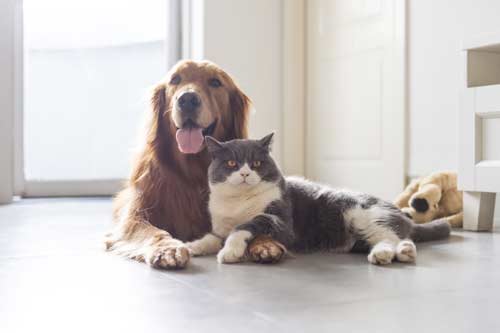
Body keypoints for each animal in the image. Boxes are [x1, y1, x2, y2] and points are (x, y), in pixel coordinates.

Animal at [104, 59, 286, 268]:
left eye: (215, 82)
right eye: (175, 79)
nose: (188, 99)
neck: (193, 170)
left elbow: (257, 220)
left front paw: (265, 242)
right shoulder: (136, 215)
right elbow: (153, 232)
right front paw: (168, 248)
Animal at [186, 132, 452, 264]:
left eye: (257, 163)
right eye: (231, 163)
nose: (244, 173)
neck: (239, 203)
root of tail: (402, 215)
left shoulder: (281, 221)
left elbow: (243, 227)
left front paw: (230, 251)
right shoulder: (219, 226)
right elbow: (211, 237)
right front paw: (191, 247)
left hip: (364, 214)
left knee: (392, 236)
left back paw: (390, 254)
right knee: (395, 239)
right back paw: (394, 253)